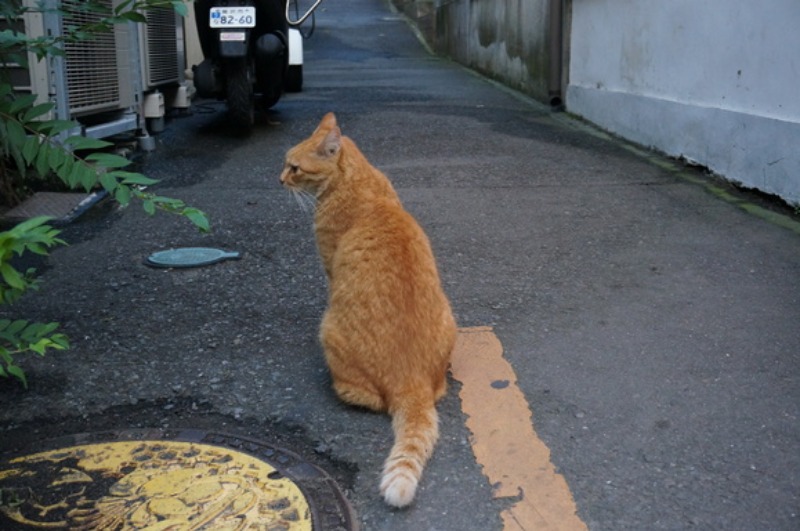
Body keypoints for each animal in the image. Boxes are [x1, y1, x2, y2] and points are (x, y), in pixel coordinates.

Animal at [282, 112, 456, 508]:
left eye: (294, 167)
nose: (279, 179)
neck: (358, 180)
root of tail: (412, 382)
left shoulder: (330, 266)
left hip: (328, 330)